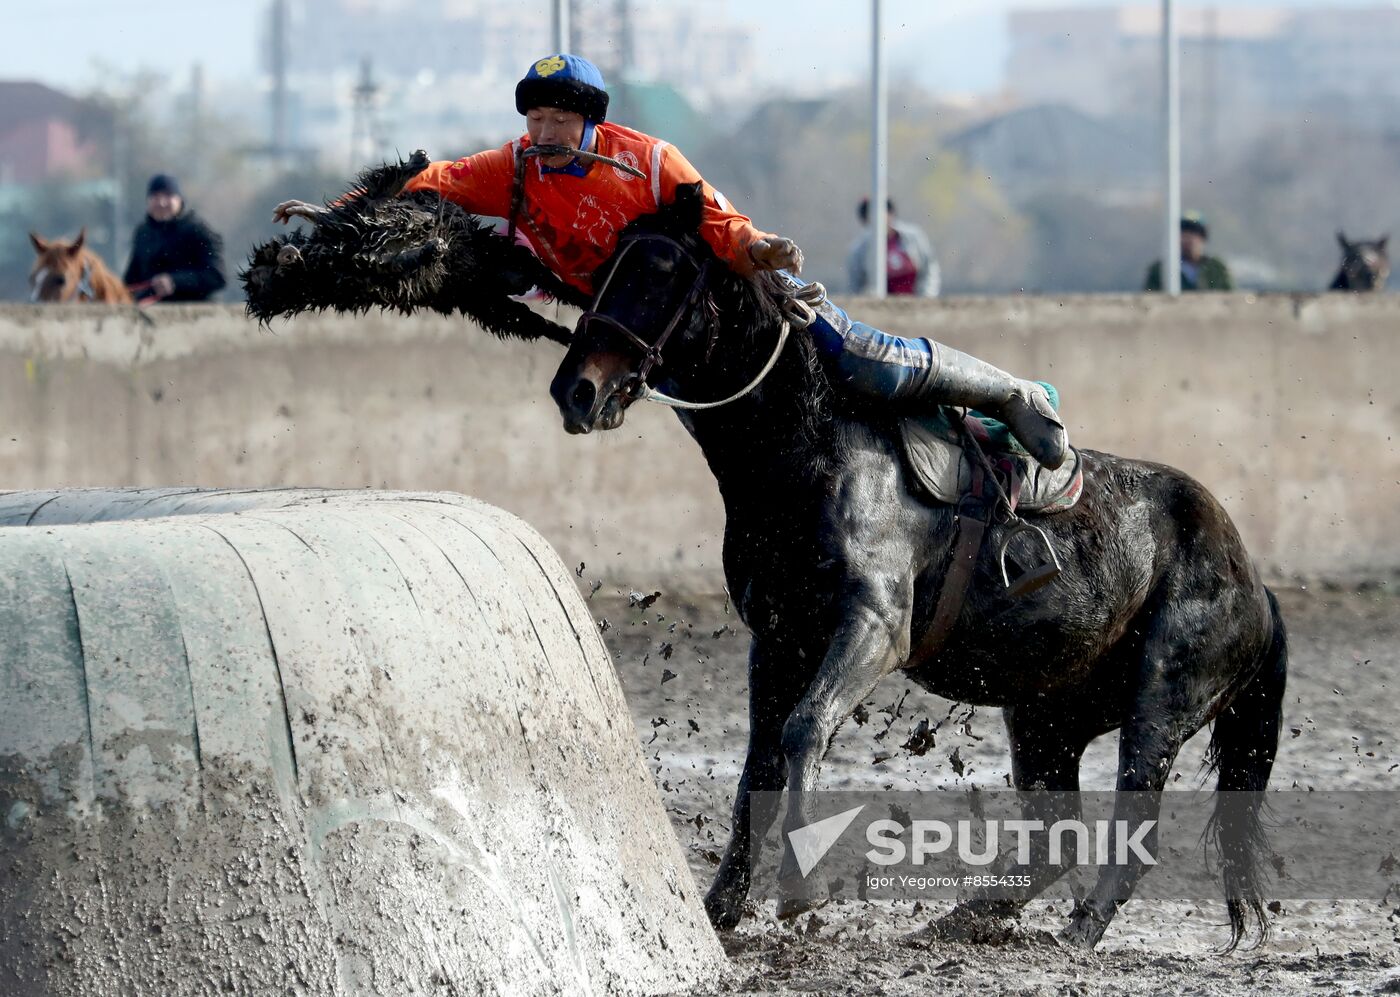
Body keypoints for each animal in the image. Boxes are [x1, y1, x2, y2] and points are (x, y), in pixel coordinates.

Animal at [546, 180, 1288, 952]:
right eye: (600, 269)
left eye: (660, 269)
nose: (577, 390)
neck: (811, 451)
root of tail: (1254, 584)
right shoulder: (777, 641)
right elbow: (760, 766)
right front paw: (721, 905)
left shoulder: (874, 625)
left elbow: (805, 728)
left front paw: (800, 889)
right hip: (1044, 717)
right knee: (1054, 838)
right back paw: (962, 919)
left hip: (1159, 705)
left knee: (1130, 830)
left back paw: (1075, 934)